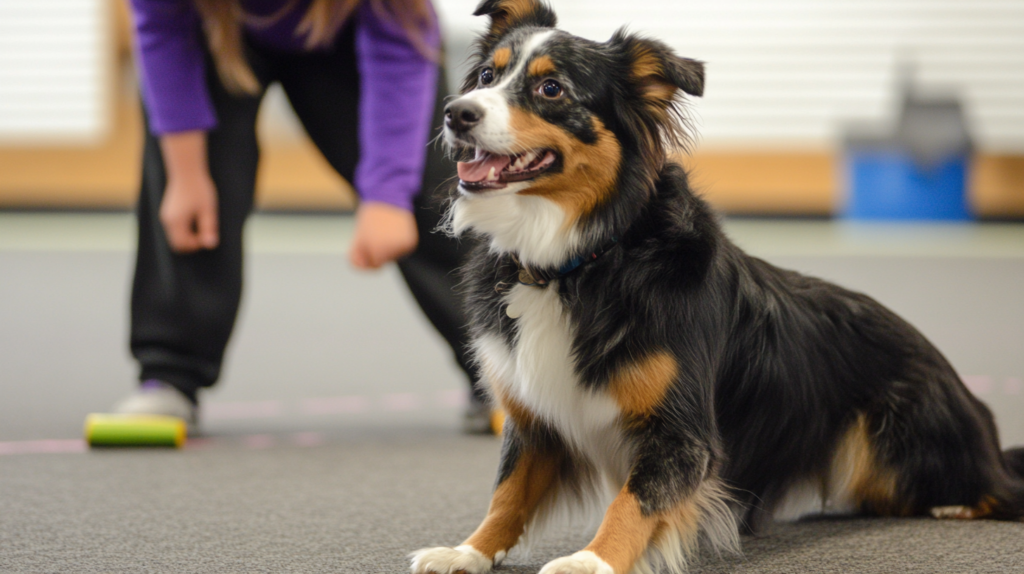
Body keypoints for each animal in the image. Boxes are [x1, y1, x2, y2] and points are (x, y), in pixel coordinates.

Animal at [407, 2, 1024, 568]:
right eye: (487, 77)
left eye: (551, 88)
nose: (454, 113)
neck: (583, 258)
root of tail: (969, 400)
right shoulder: (535, 419)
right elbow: (507, 493)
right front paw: (466, 551)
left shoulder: (683, 434)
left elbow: (634, 500)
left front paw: (591, 560)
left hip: (893, 449)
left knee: (996, 488)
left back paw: (958, 501)